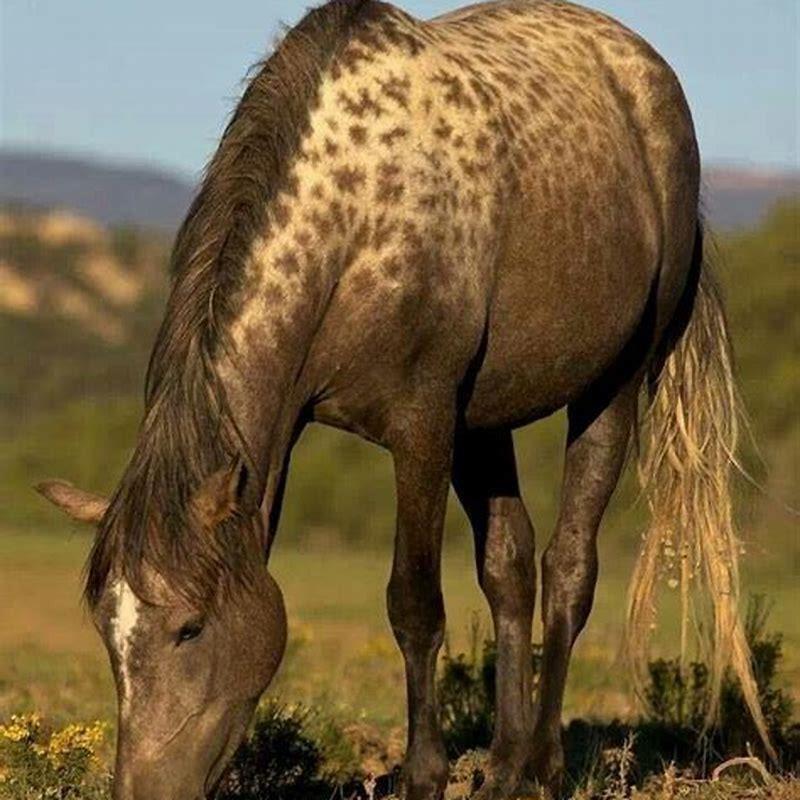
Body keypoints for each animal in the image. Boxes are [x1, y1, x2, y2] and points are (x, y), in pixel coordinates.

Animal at [37, 1, 771, 798]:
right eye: (107, 631)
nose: (141, 789)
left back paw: (543, 767)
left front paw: (423, 775)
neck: (353, 218)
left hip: (613, 388)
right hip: (485, 420)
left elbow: (414, 603)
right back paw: (504, 766)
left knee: (569, 569)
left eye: (191, 626)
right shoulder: (323, 433)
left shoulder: (422, 425)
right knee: (510, 568)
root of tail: (647, 73)